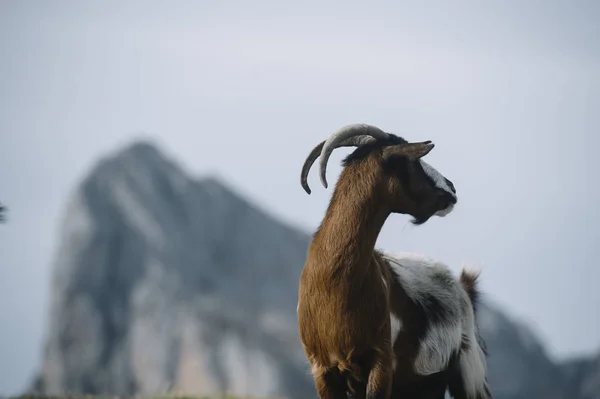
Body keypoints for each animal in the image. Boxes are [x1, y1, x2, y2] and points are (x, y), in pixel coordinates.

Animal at [296, 125, 492, 399]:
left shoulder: (381, 363)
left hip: (467, 374)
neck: (333, 285)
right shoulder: (323, 371)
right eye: (411, 162)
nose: (451, 189)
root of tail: (464, 288)